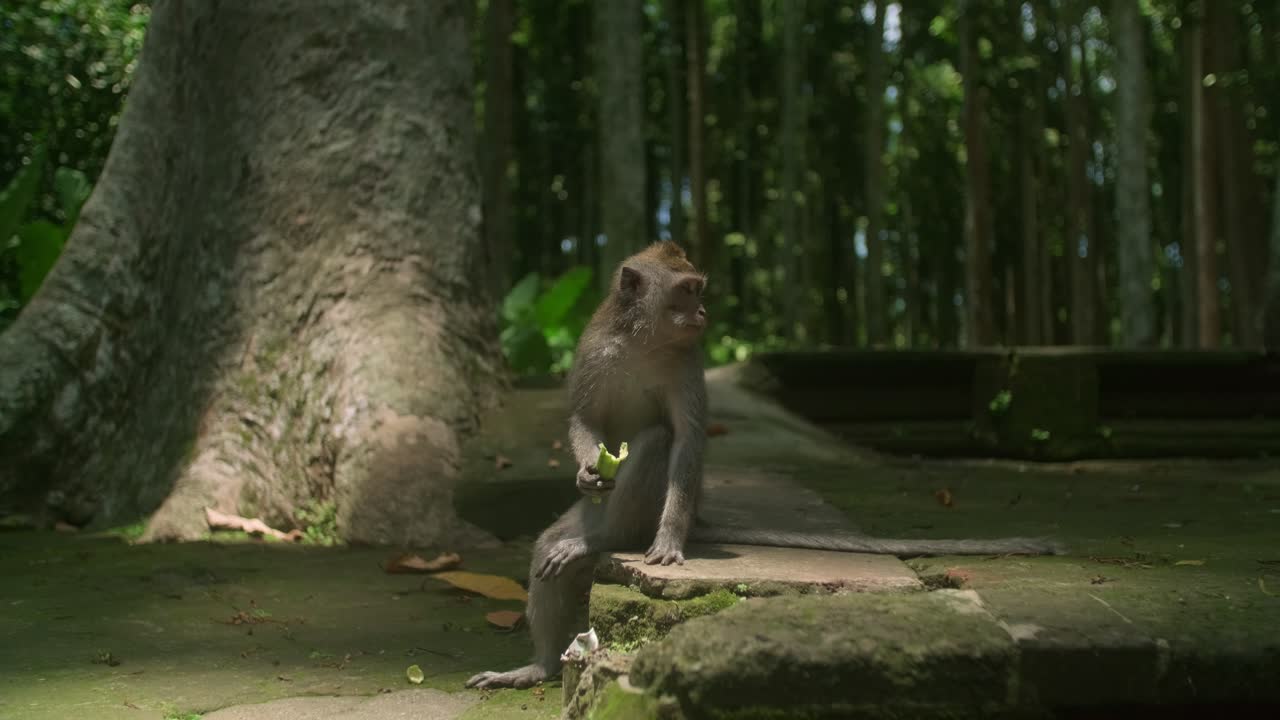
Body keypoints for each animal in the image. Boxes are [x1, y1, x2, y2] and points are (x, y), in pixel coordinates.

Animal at [465, 241, 1061, 690]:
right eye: (687, 291)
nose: (704, 313)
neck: (642, 342)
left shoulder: (688, 362)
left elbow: (685, 440)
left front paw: (669, 541)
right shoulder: (593, 349)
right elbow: (584, 418)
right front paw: (588, 469)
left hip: (639, 513)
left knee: (654, 444)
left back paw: (607, 541)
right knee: (547, 546)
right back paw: (540, 663)